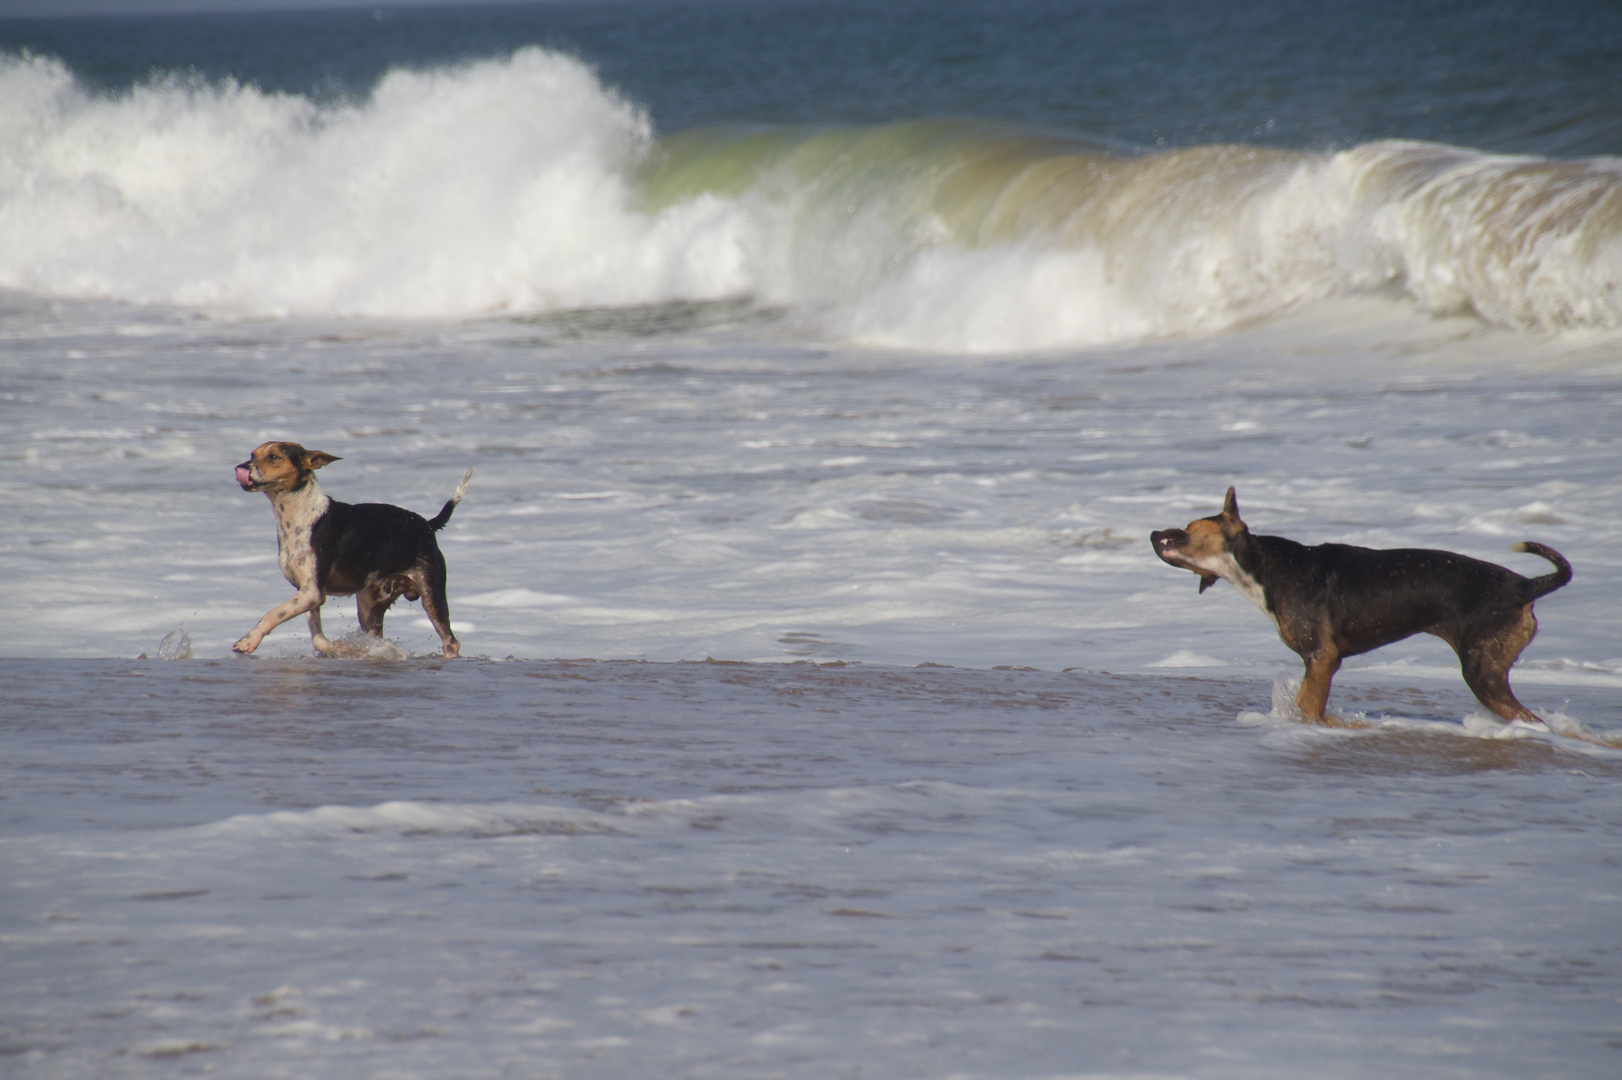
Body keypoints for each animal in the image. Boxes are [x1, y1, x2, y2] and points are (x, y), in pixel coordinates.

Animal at [235, 441, 473, 655]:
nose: (241, 467)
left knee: (451, 641)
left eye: (273, 457)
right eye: (253, 454)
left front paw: (248, 640)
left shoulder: (312, 593)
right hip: (369, 605)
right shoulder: (306, 592)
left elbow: (273, 613)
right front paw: (338, 648)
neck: (301, 516)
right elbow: (317, 637)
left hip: (431, 594)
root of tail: (428, 525)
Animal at [1154, 486, 1570, 723]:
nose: (1154, 532)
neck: (1262, 565)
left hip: (1483, 671)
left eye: (1189, 530)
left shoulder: (1322, 659)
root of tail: (1523, 585)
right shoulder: (1318, 664)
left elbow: (1308, 710)